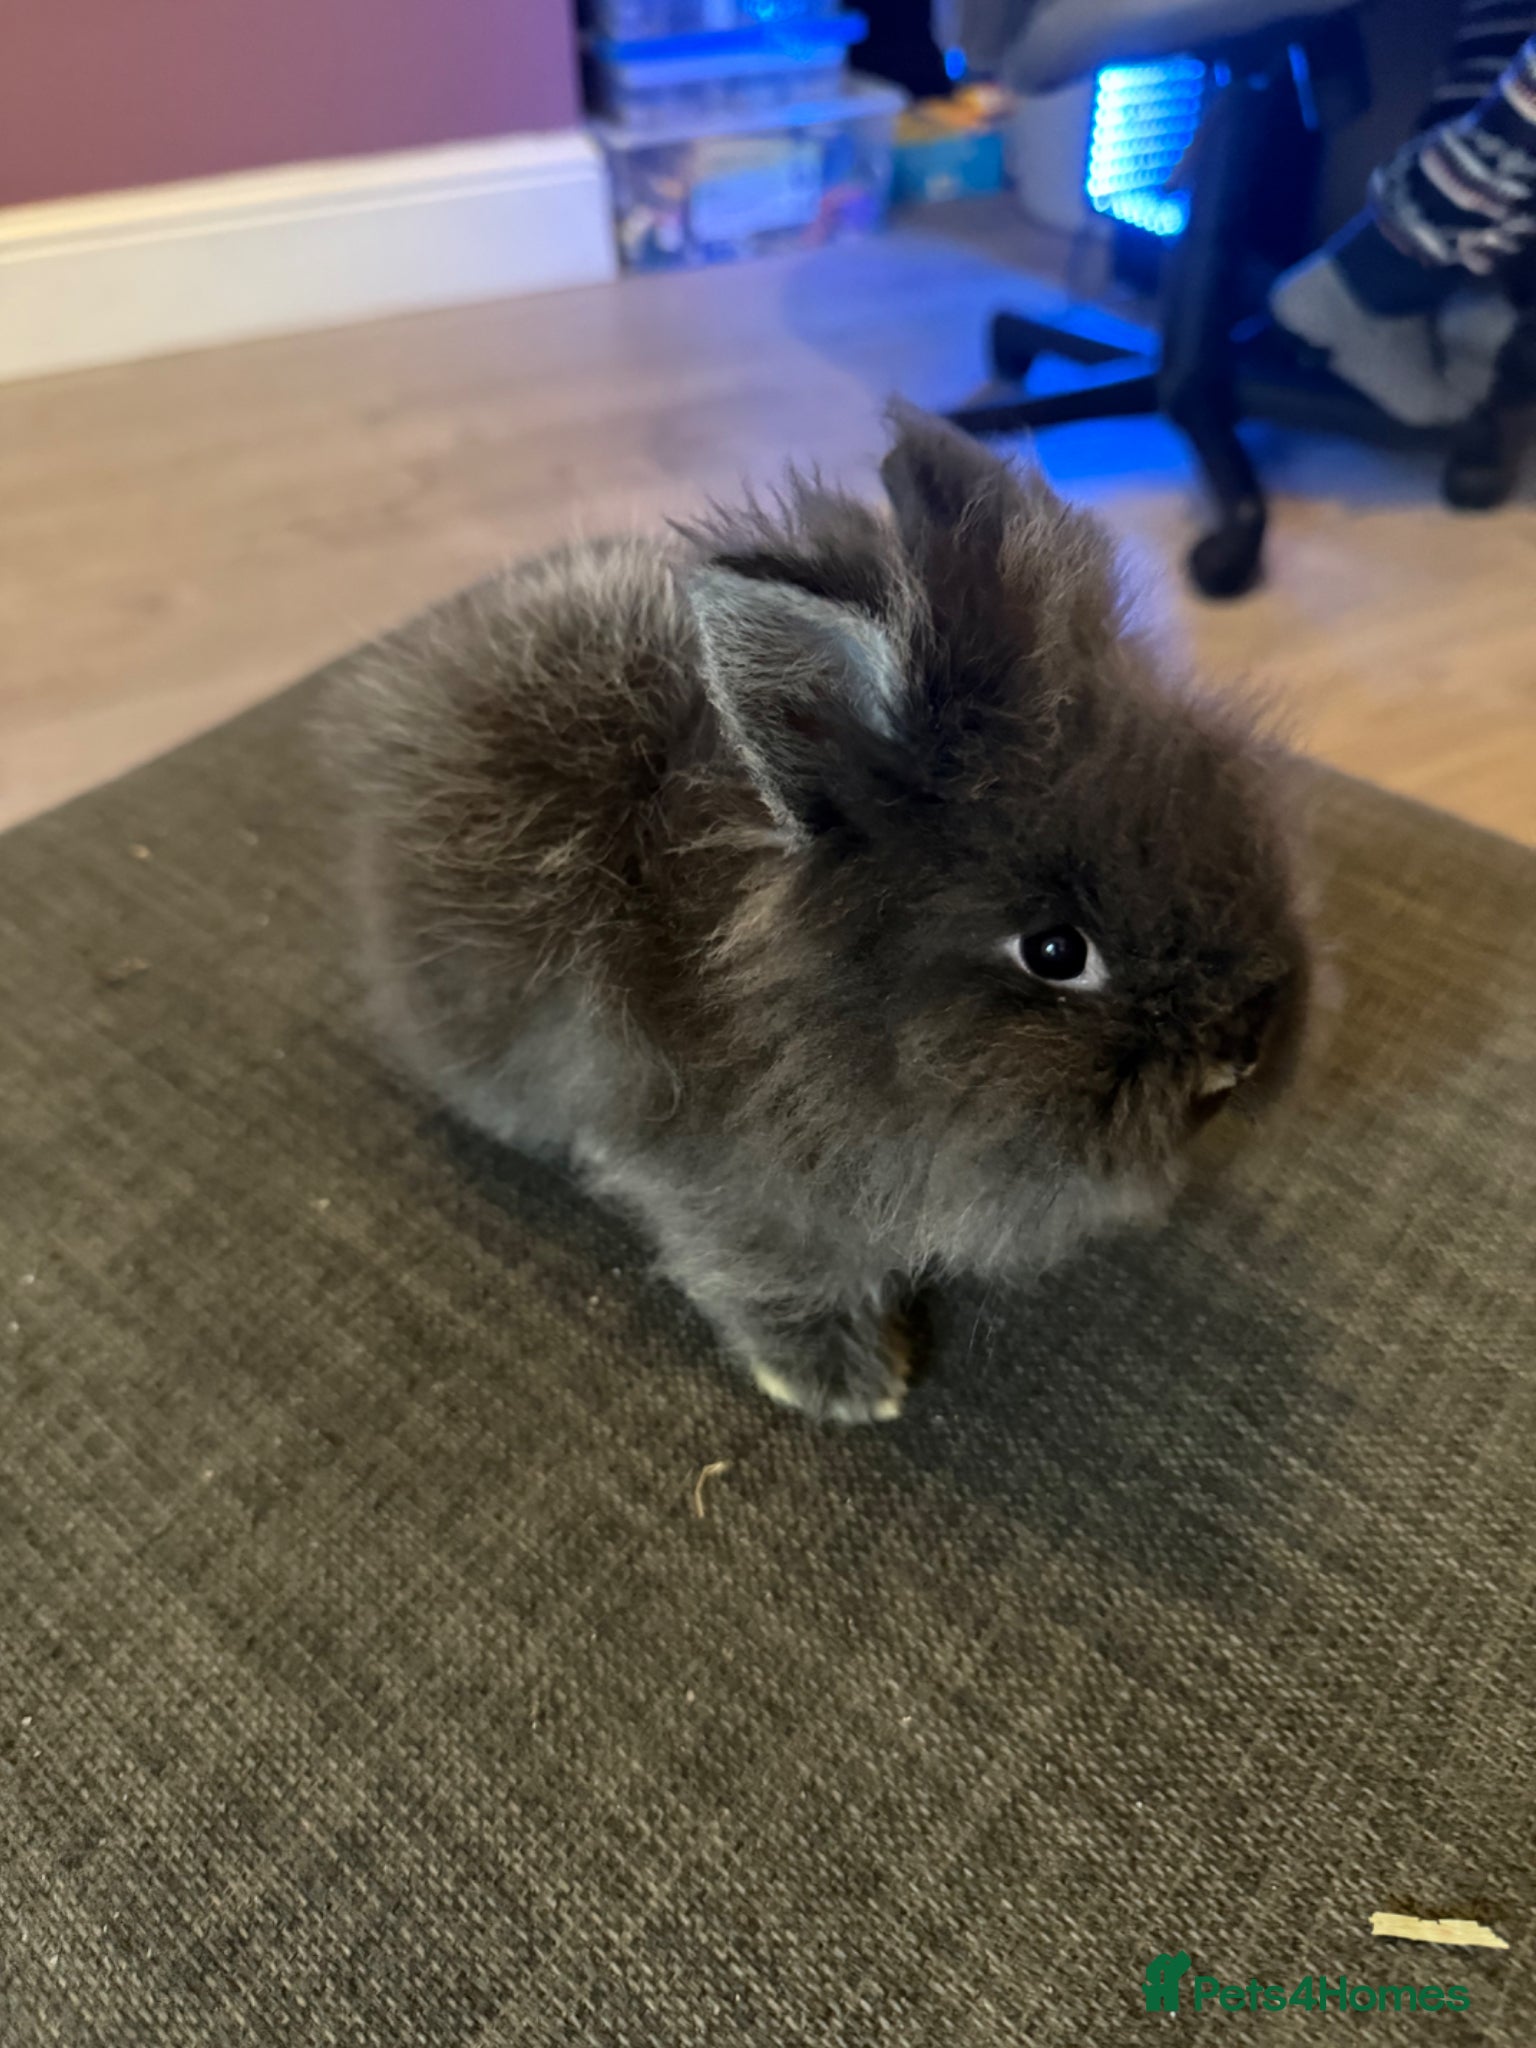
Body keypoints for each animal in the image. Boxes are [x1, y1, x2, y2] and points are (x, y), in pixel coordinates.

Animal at [327, 405, 1311, 1424]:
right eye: (1054, 951)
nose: (1242, 1051)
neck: (813, 1015)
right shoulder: (720, 1186)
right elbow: (772, 1275)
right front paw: (846, 1386)